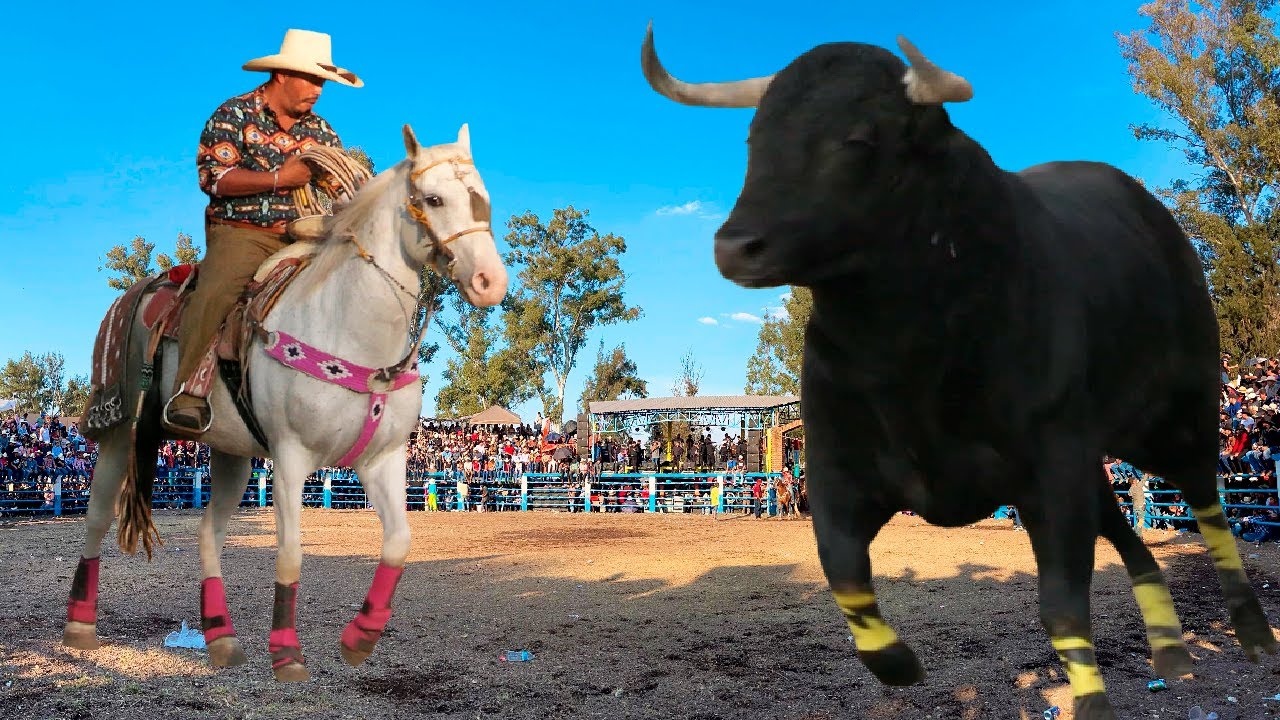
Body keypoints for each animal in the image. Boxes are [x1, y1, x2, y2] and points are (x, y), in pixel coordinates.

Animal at [61, 124, 508, 682]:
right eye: (433, 199)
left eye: (483, 197)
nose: (491, 282)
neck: (348, 324)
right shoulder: (292, 457)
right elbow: (291, 553)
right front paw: (287, 653)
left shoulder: (380, 459)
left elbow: (399, 543)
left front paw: (359, 639)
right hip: (119, 433)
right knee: (97, 517)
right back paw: (79, 627)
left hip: (229, 453)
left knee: (208, 534)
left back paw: (221, 638)